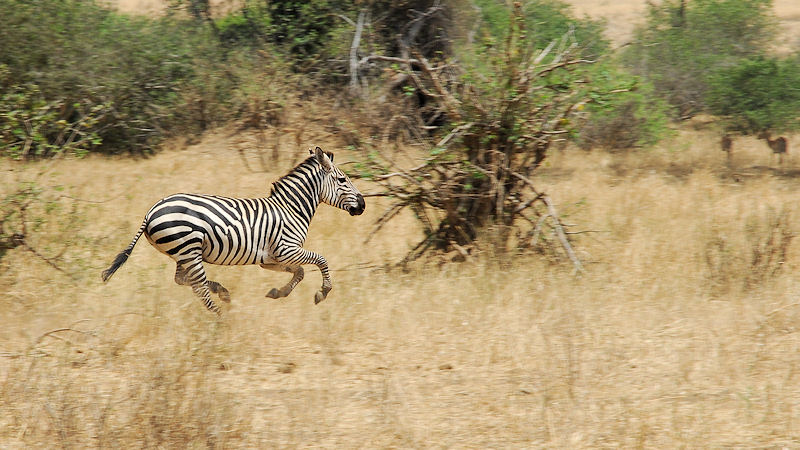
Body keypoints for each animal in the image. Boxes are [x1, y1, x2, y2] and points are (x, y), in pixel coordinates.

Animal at [101, 147, 366, 315]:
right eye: (343, 180)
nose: (363, 205)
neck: (290, 208)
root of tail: (151, 211)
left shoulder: (271, 259)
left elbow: (299, 272)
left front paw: (277, 293)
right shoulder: (286, 249)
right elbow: (321, 260)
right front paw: (323, 292)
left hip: (183, 253)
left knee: (184, 280)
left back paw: (222, 292)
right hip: (188, 249)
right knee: (198, 287)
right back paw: (222, 318)